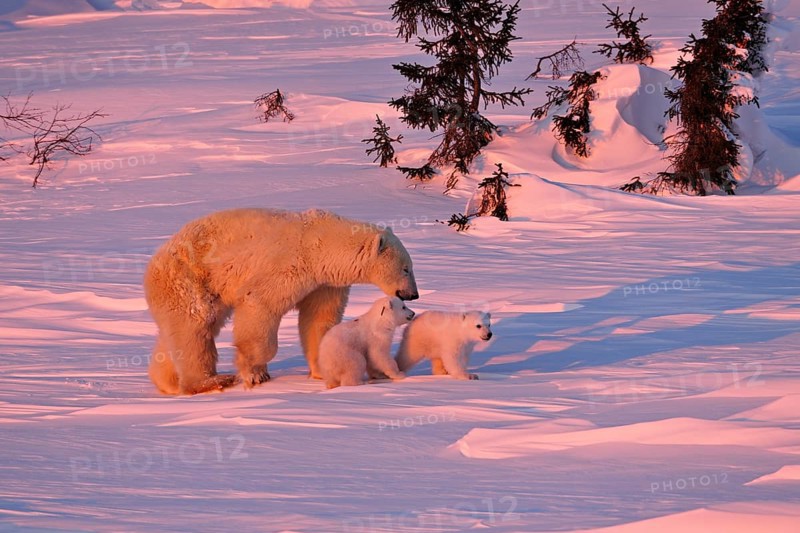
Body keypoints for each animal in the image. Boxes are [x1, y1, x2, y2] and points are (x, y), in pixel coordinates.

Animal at [143, 208, 419, 395]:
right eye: (406, 268)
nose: (413, 294)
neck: (319, 244)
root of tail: (155, 260)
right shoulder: (287, 264)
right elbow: (260, 304)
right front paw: (255, 372)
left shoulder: (324, 282)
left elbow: (318, 319)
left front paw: (322, 369)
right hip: (190, 276)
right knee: (196, 324)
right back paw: (210, 381)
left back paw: (167, 382)